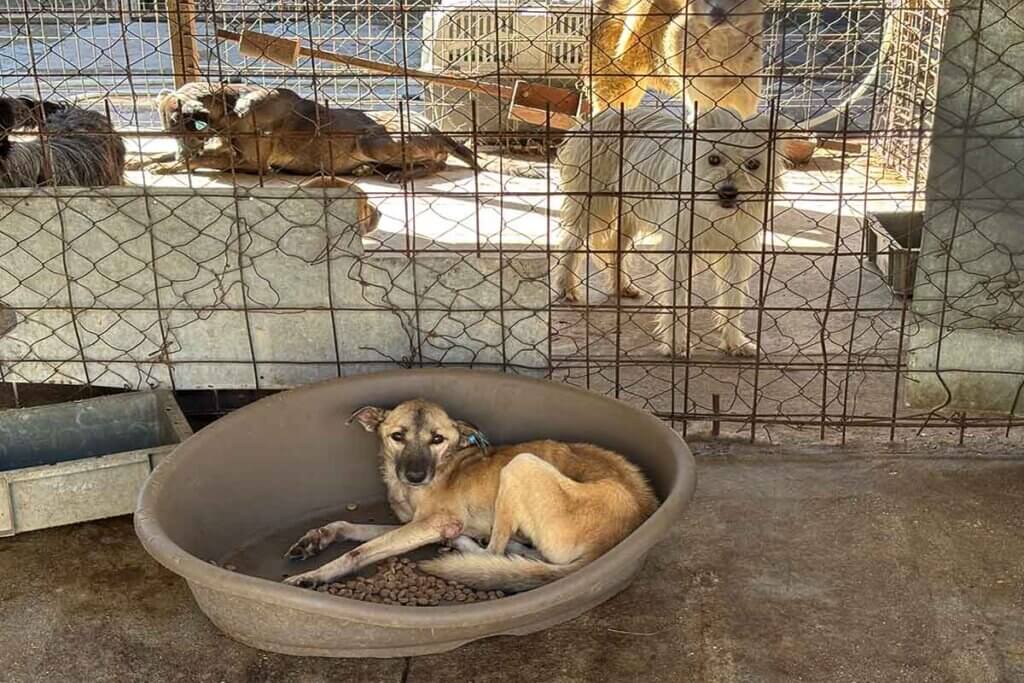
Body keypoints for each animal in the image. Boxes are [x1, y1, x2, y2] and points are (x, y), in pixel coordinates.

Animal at [134, 82, 481, 183]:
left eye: (181, 126)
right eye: (167, 130)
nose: (181, 150)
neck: (231, 108)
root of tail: (435, 128)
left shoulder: (252, 163)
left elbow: (202, 159)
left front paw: (170, 165)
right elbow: (176, 155)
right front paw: (144, 161)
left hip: (373, 139)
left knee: (437, 163)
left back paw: (404, 174)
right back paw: (369, 170)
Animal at [280, 401, 655, 593]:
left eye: (438, 439)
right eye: (397, 436)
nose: (415, 476)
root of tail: (621, 534)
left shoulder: (432, 523)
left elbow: (358, 551)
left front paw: (316, 574)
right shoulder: (412, 525)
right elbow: (348, 526)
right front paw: (314, 539)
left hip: (520, 465)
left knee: (494, 552)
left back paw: (462, 544)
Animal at [552, 107, 782, 358]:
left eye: (753, 164)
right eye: (713, 159)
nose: (728, 193)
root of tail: (600, 116)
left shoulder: (737, 252)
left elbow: (733, 296)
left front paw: (735, 341)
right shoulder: (679, 250)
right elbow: (677, 296)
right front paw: (675, 342)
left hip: (629, 211)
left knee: (616, 247)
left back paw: (621, 285)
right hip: (591, 203)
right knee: (571, 241)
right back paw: (565, 286)